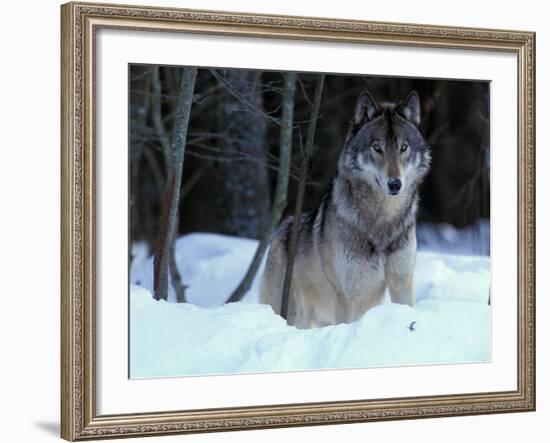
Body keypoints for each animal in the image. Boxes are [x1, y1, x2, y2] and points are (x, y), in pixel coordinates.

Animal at [260, 91, 434, 330]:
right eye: (377, 148)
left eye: (403, 147)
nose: (395, 184)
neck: (383, 221)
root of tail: (280, 229)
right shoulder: (350, 295)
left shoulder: (401, 283)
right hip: (294, 314)